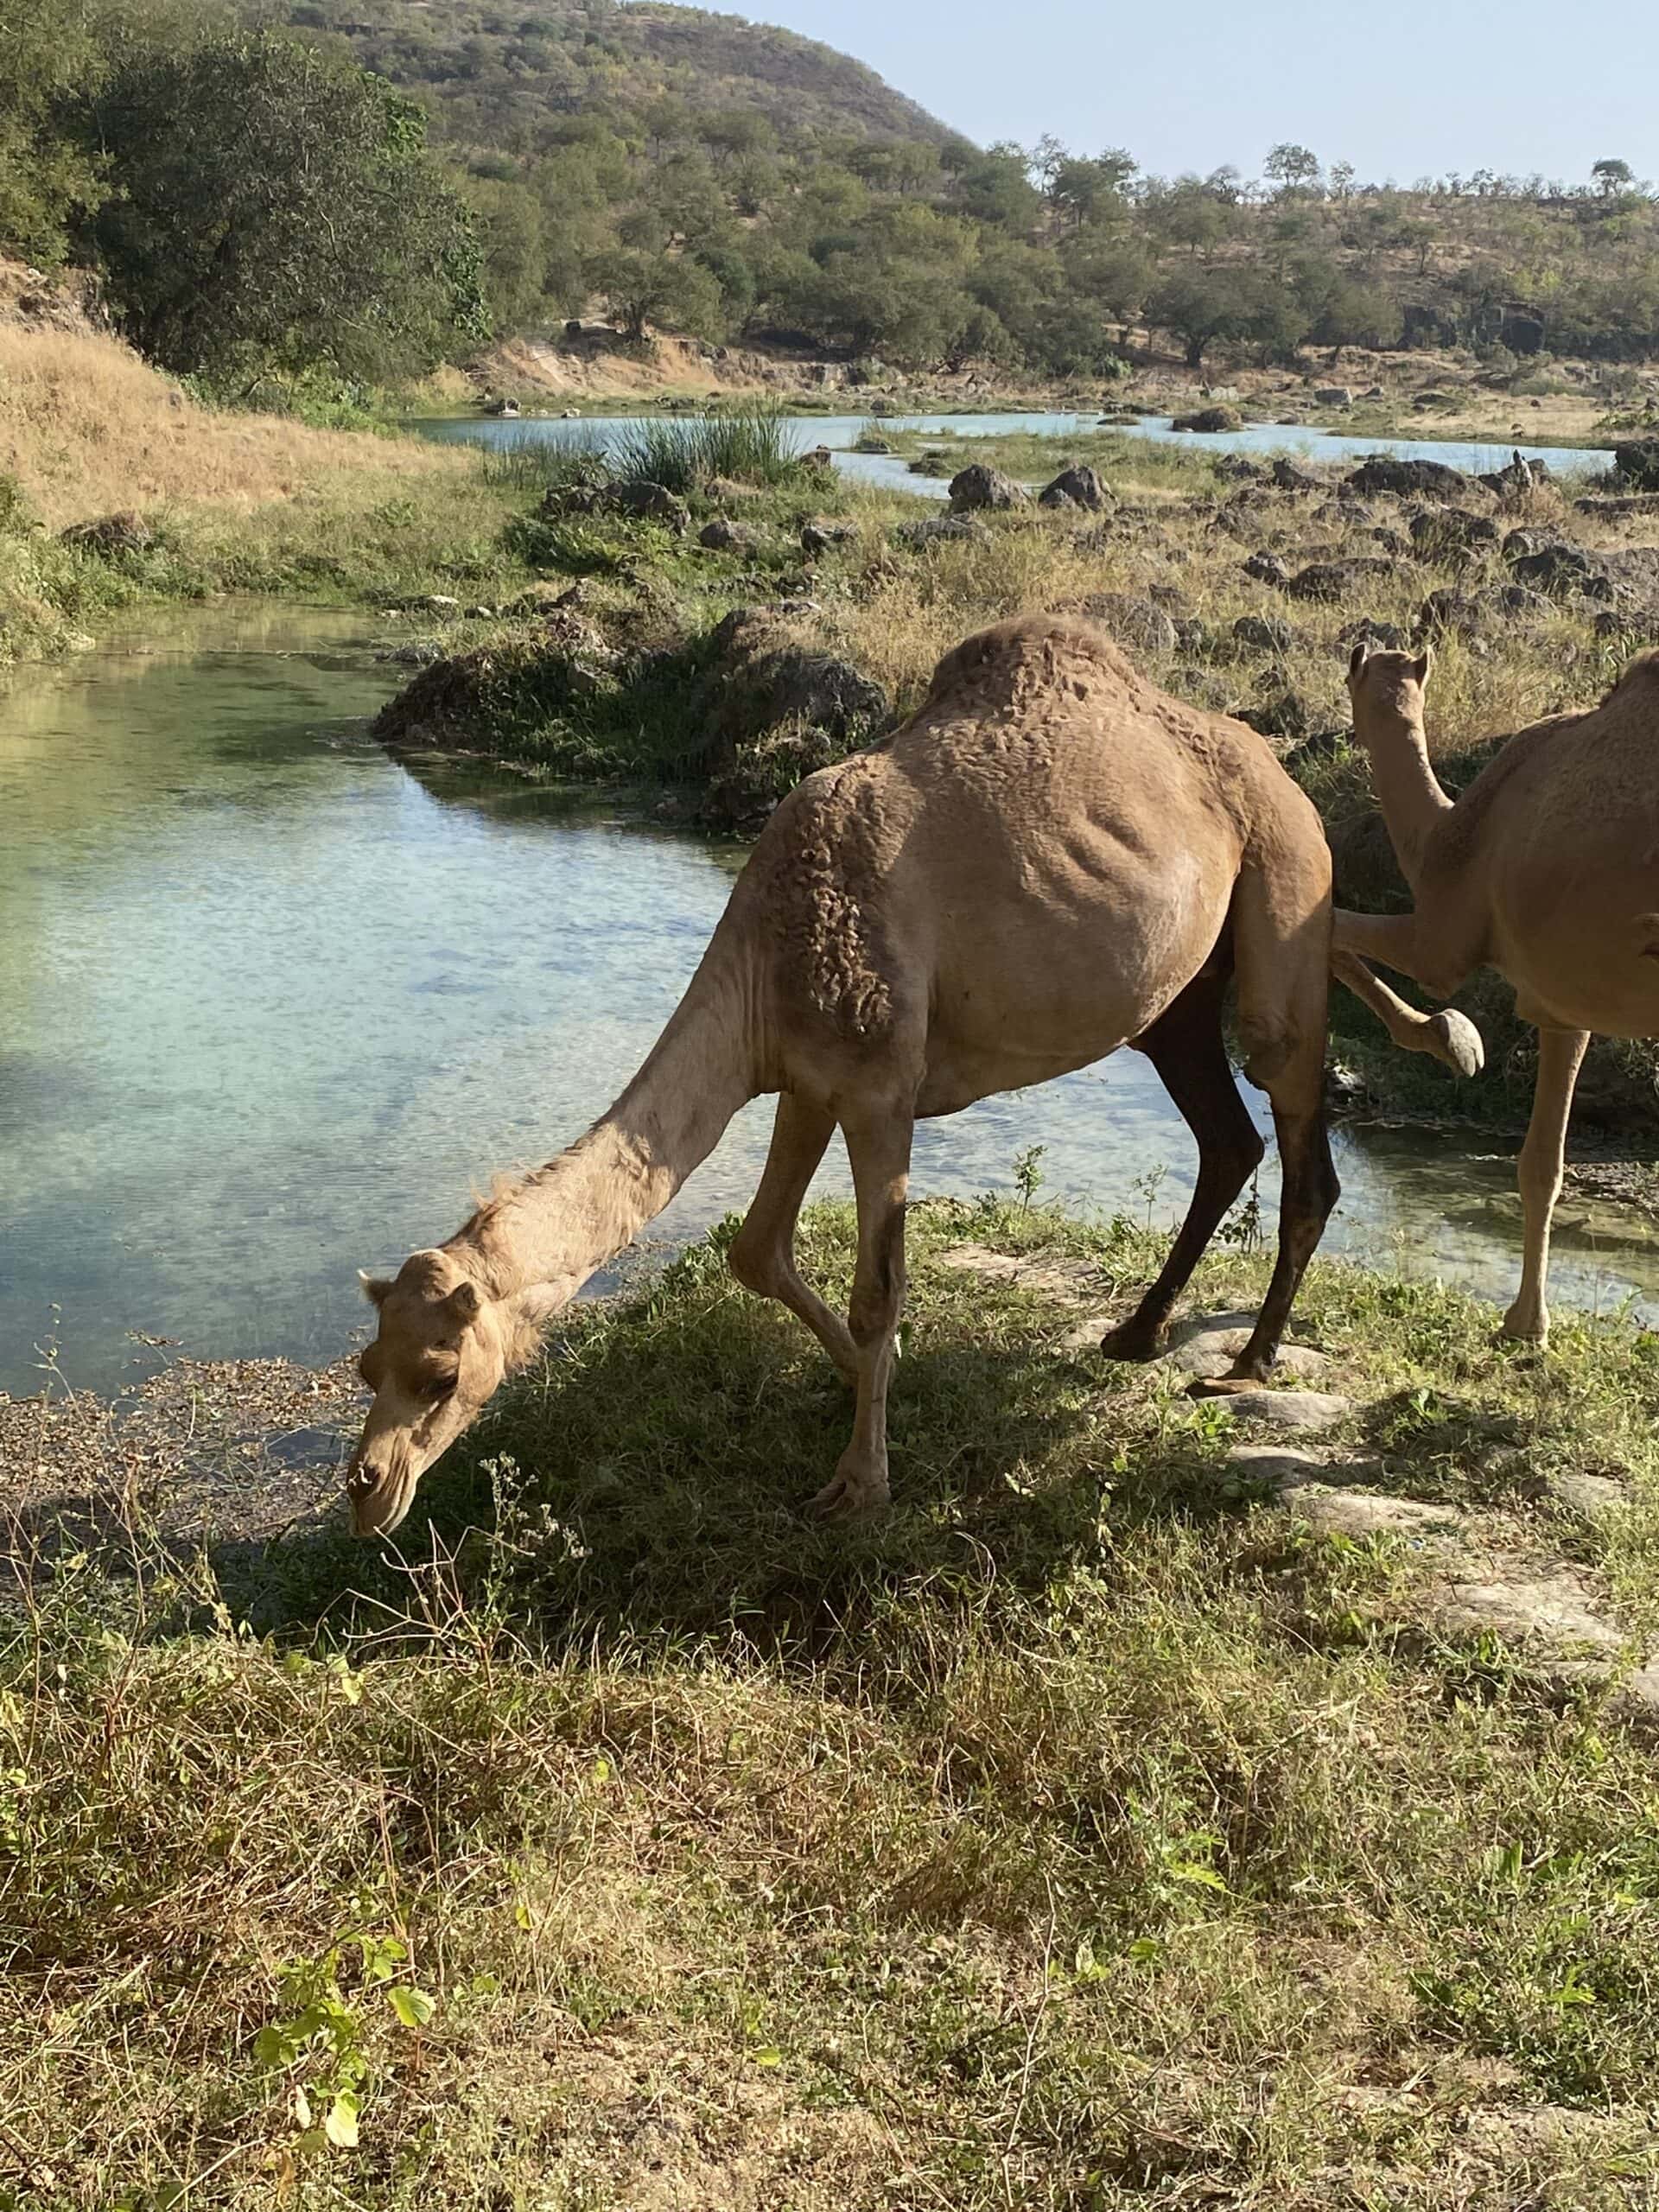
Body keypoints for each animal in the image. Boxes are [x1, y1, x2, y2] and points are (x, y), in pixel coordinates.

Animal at [352, 610, 1451, 1539]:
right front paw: (875, 1387)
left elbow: (879, 1285)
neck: (767, 953)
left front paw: (861, 1482)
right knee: (1226, 1137)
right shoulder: (805, 1077)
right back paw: (1137, 1334)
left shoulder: (882, 1086)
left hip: (1285, 895)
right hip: (1177, 998)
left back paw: (1248, 1361)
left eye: (441, 1375)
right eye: (369, 1364)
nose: (369, 1488)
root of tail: (1285, 771)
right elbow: (756, 1250)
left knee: (1297, 1119)